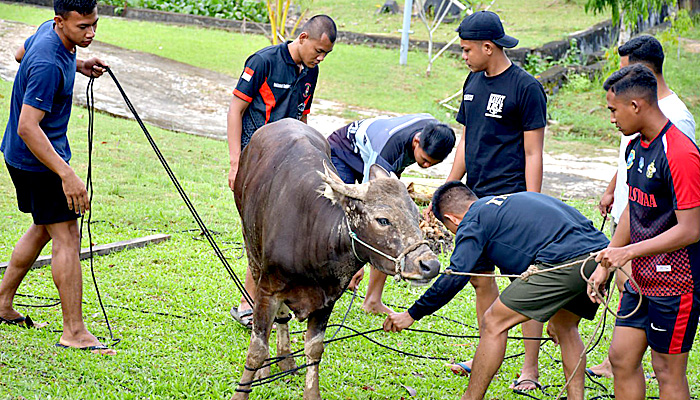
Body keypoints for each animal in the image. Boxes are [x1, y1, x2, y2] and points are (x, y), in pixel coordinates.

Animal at [231, 119, 438, 400]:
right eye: (383, 220)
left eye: (417, 217)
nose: (430, 265)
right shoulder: (268, 289)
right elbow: (256, 349)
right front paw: (248, 384)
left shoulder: (327, 298)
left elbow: (314, 348)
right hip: (251, 248)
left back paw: (286, 359)